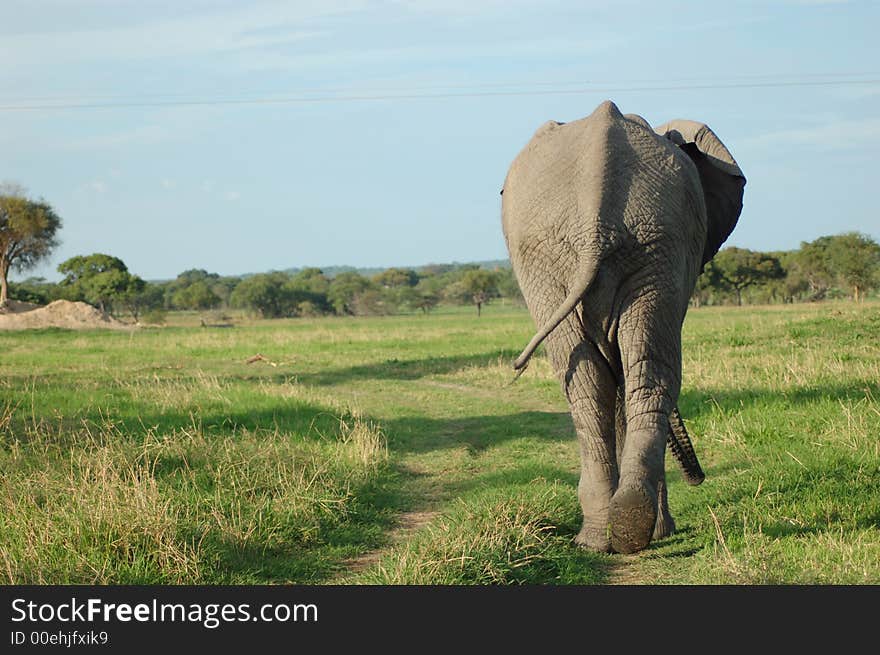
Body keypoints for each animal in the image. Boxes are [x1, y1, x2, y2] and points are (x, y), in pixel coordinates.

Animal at [502, 101, 744, 552]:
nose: (699, 479)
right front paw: (663, 531)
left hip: (639, 244)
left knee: (606, 381)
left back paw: (611, 534)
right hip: (608, 250)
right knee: (628, 376)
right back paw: (616, 533)